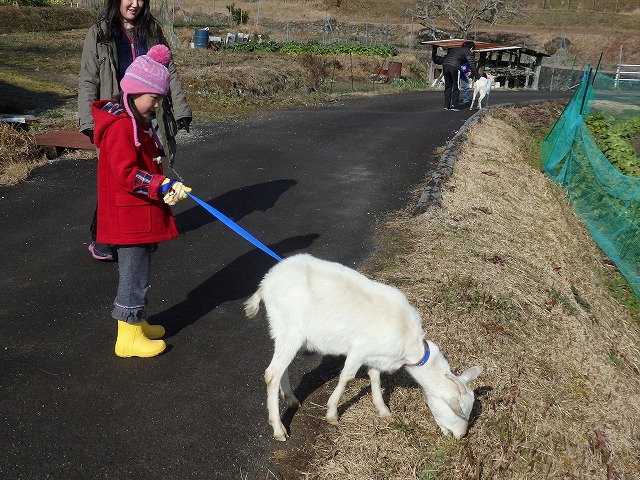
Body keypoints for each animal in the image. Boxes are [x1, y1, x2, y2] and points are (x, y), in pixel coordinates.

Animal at [242, 255, 482, 442]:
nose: (461, 436)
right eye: (459, 412)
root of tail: (266, 284)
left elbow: (375, 376)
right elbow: (346, 377)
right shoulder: (358, 349)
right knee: (272, 373)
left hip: (284, 332)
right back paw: (279, 429)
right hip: (291, 329)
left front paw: (383, 410)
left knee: (281, 368)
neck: (410, 344)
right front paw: (332, 414)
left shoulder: (376, 355)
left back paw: (291, 400)